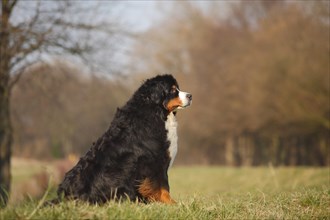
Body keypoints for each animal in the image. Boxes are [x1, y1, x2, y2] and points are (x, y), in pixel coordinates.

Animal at [56, 74, 191, 205]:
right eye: (173, 90)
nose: (190, 96)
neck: (155, 111)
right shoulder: (155, 161)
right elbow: (161, 187)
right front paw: (173, 204)